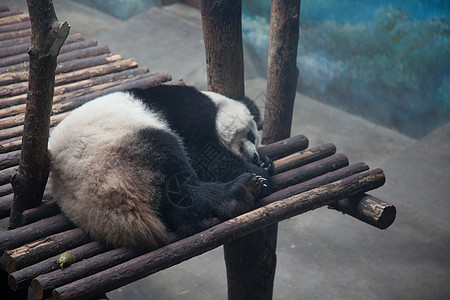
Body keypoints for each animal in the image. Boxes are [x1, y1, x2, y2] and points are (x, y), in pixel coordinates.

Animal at [51, 84, 272, 248]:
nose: (254, 156)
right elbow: (205, 154)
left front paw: (265, 163)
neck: (217, 103)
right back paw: (240, 191)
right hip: (116, 148)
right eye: (251, 136)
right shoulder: (187, 111)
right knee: (176, 180)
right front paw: (262, 172)